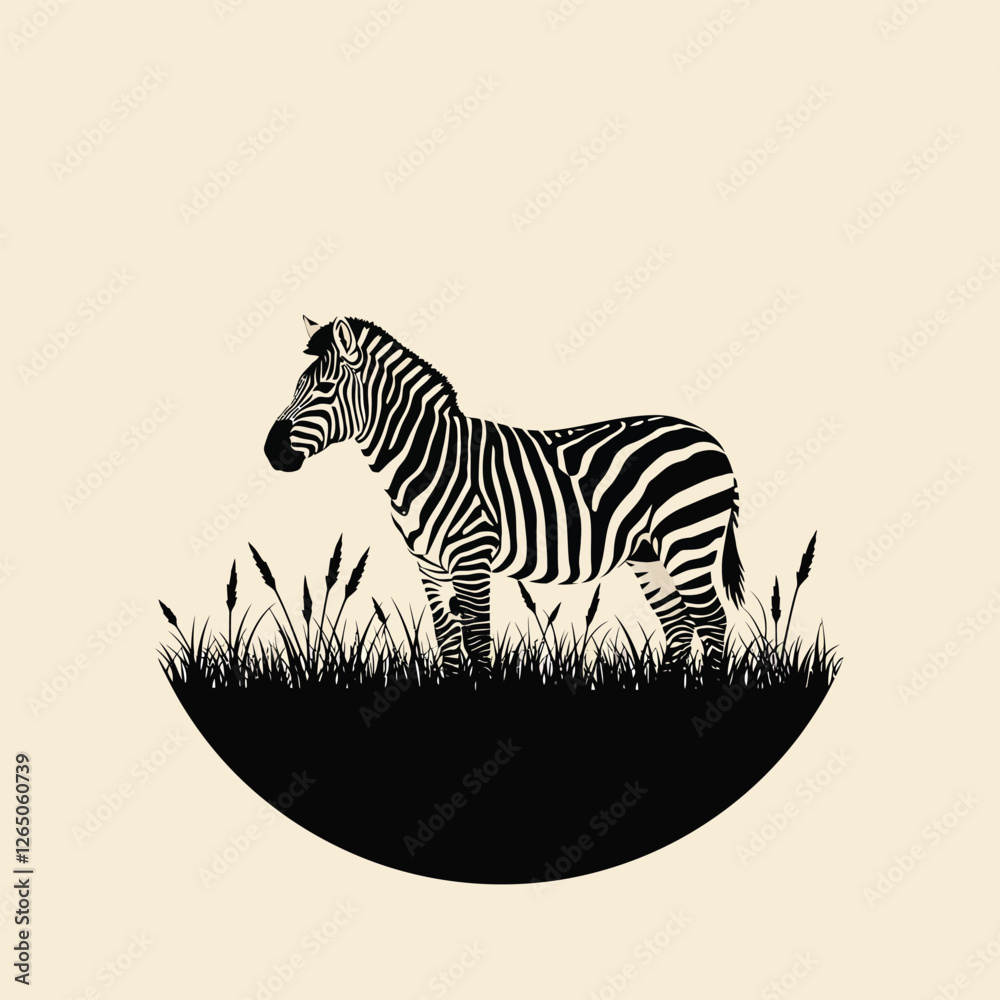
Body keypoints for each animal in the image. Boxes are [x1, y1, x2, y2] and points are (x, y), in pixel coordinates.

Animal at [264, 315, 745, 673]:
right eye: (296, 385)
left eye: (324, 388)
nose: (272, 451)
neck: (427, 458)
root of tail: (710, 438)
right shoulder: (428, 564)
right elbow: (448, 642)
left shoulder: (472, 556)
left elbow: (477, 640)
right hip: (648, 552)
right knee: (679, 624)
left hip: (688, 540)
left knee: (712, 620)